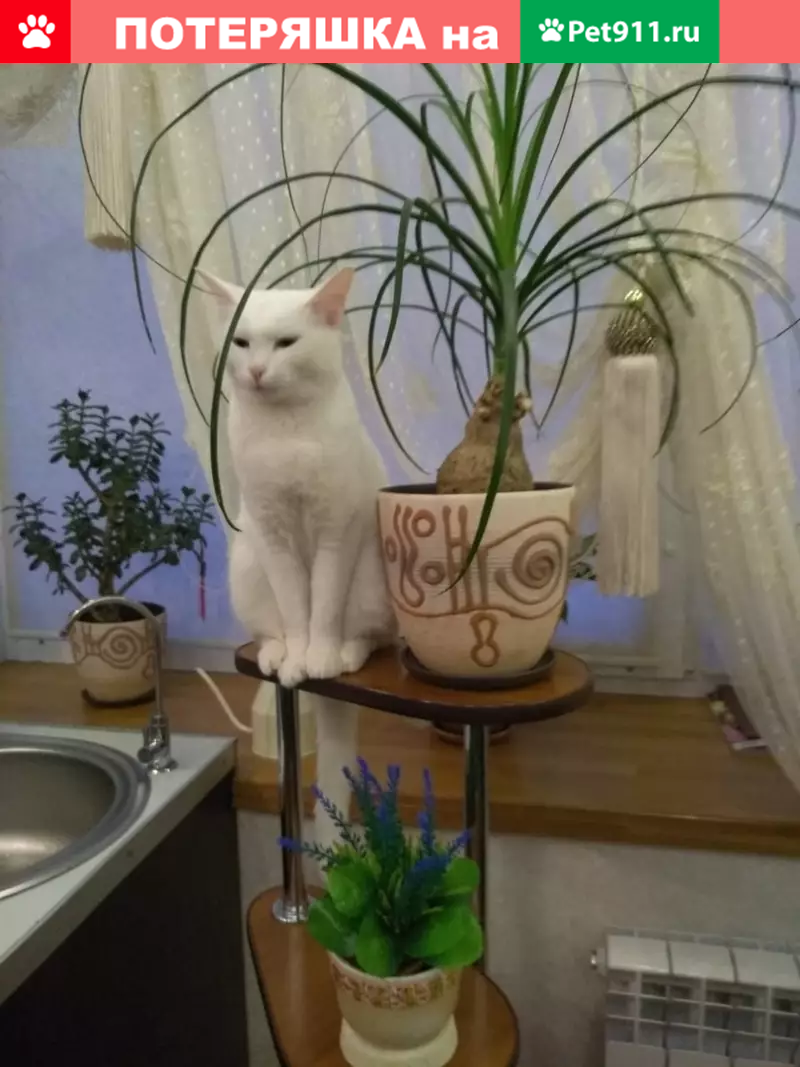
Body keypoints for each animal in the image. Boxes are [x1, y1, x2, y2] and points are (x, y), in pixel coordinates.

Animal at [201, 266, 395, 852]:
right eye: (242, 343)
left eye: (286, 343)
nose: (258, 371)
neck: (286, 433)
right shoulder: (273, 534)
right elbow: (295, 606)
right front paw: (296, 660)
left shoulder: (336, 530)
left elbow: (323, 605)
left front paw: (320, 657)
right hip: (246, 564)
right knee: (271, 628)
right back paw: (278, 655)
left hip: (371, 581)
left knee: (368, 636)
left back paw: (343, 656)